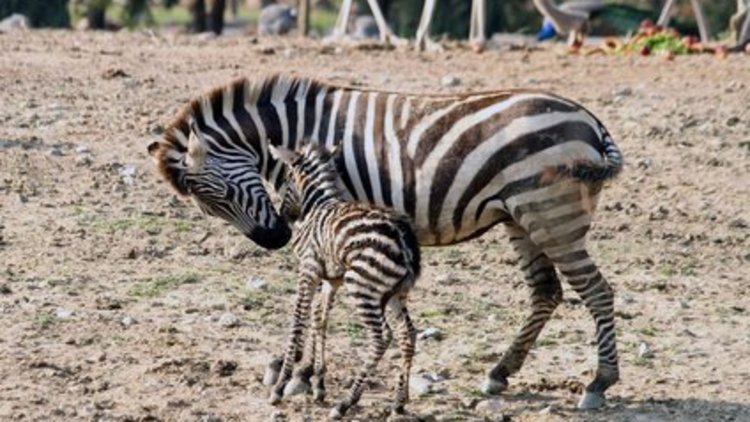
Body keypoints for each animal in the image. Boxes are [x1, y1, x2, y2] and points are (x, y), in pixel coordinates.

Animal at [266, 142, 420, 419]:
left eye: (286, 178)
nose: (284, 216)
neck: (318, 204)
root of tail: (403, 235)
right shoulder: (331, 280)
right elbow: (320, 319)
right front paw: (318, 383)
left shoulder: (308, 269)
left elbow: (298, 321)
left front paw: (280, 386)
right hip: (396, 293)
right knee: (408, 334)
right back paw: (399, 402)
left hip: (362, 285)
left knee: (381, 336)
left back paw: (347, 402)